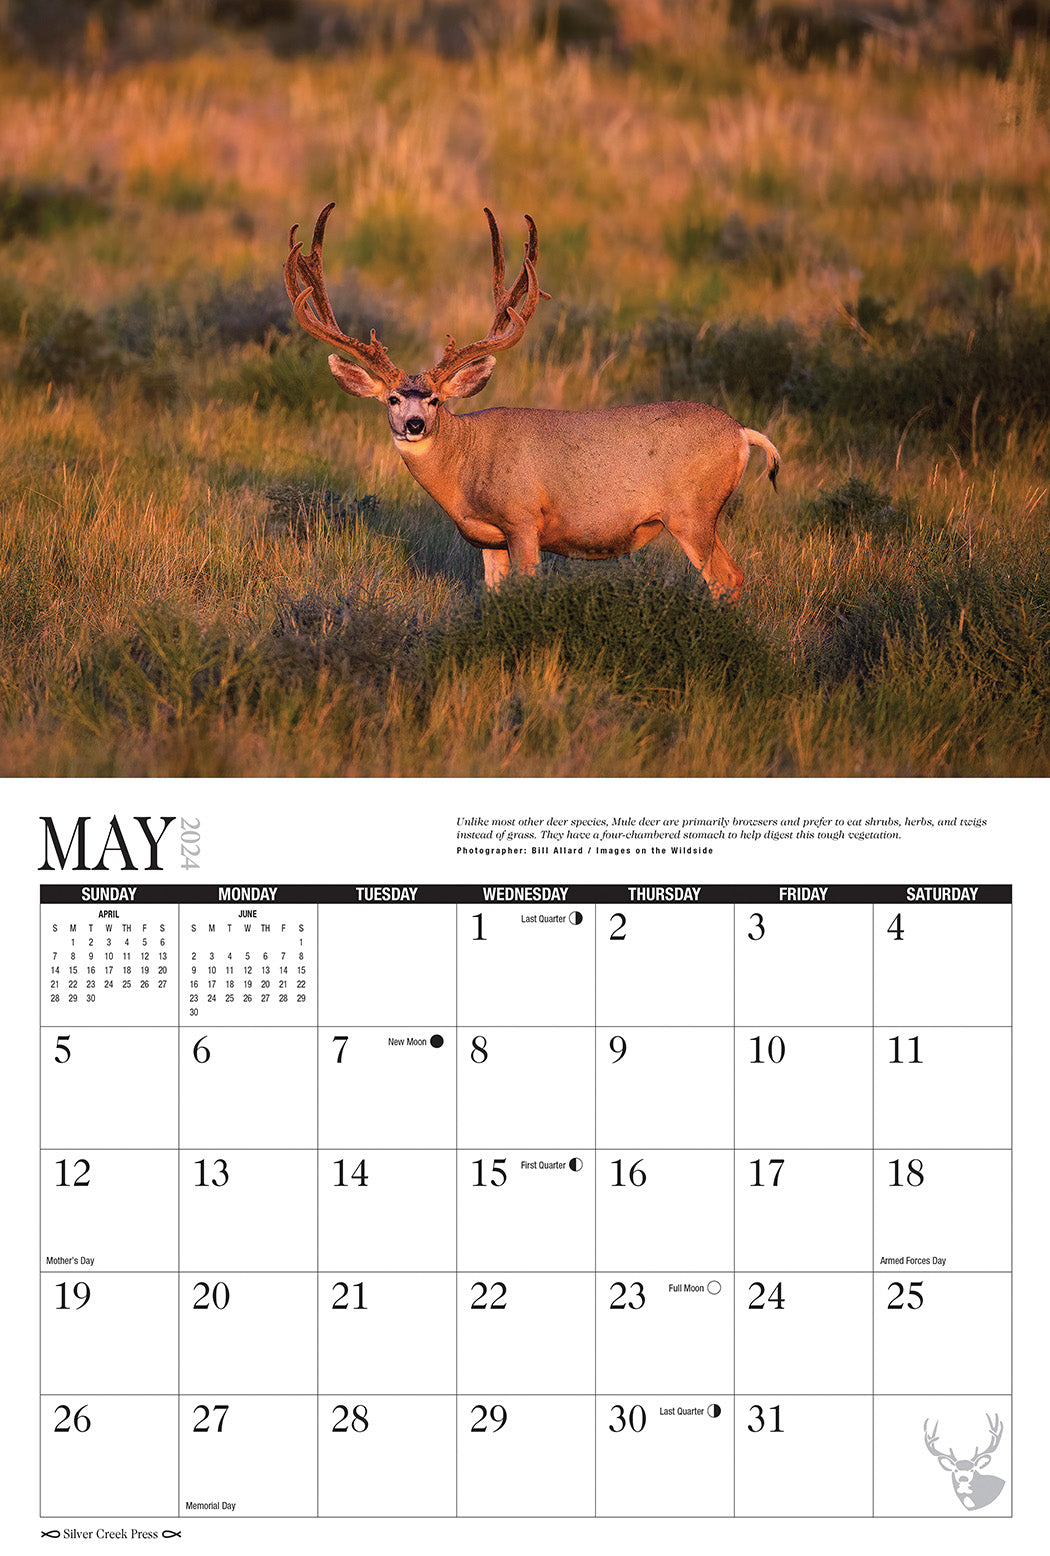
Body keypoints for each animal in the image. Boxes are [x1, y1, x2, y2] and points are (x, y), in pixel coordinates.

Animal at [284, 204, 780, 599]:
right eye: (391, 399)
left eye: (435, 400)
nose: (414, 425)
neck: (467, 464)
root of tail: (741, 432)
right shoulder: (490, 540)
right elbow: (494, 594)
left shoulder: (524, 520)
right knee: (734, 575)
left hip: (692, 513)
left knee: (726, 577)